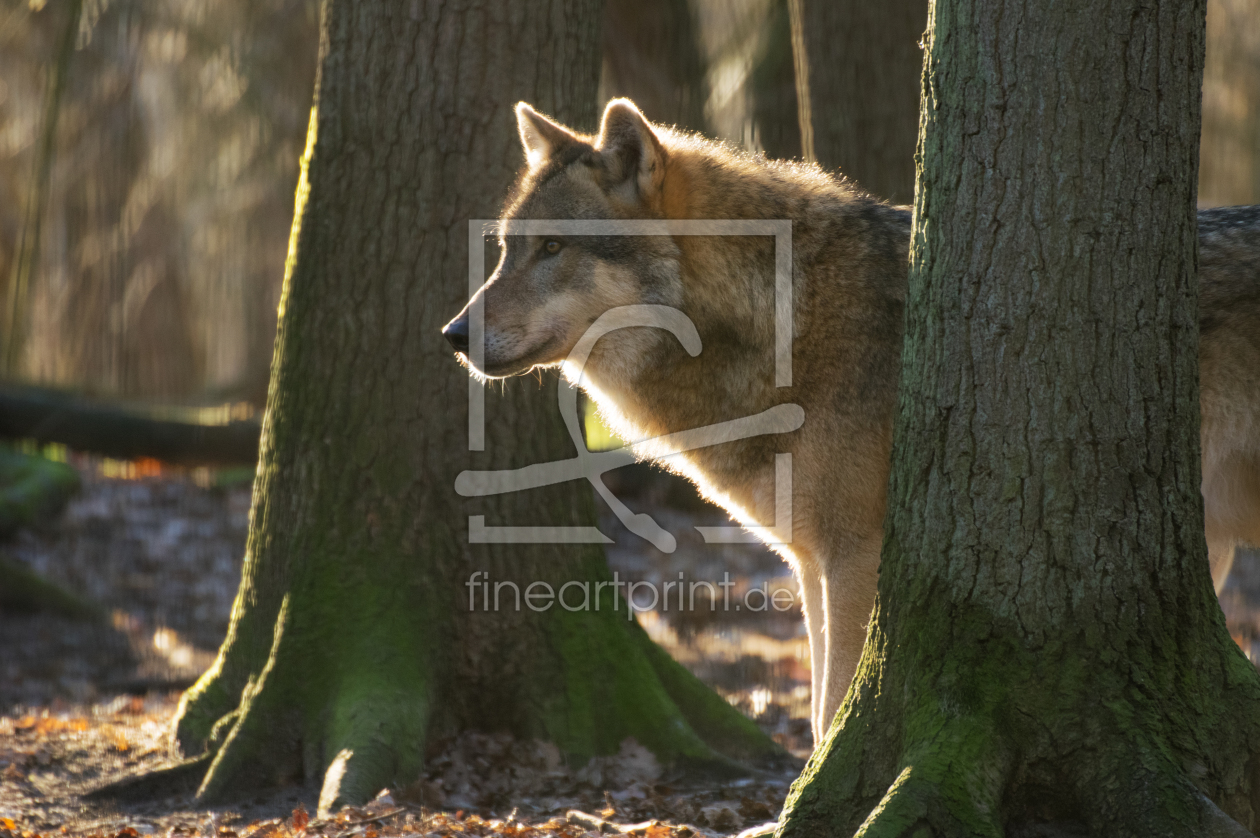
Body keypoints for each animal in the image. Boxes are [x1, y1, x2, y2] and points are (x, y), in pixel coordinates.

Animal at [441, 99, 1260, 746]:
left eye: (553, 248)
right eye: (507, 250)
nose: (453, 334)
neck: (785, 322)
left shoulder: (855, 557)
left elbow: (834, 708)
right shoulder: (809, 562)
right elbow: (818, 717)